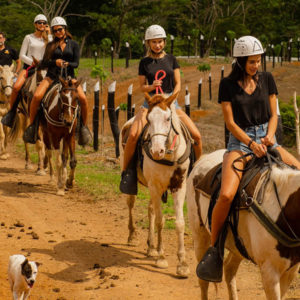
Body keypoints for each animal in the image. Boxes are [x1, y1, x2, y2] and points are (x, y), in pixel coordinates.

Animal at [119, 92, 191, 278]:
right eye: (148, 120)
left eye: (168, 118)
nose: (156, 151)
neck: (169, 156)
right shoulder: (155, 186)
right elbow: (160, 221)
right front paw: (162, 257)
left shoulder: (179, 186)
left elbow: (179, 222)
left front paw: (182, 264)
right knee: (131, 203)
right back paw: (133, 236)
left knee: (151, 210)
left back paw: (151, 247)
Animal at [186, 150, 300, 300]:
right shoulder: (269, 271)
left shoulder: (291, 270)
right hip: (200, 236)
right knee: (203, 280)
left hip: (237, 246)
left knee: (229, 269)